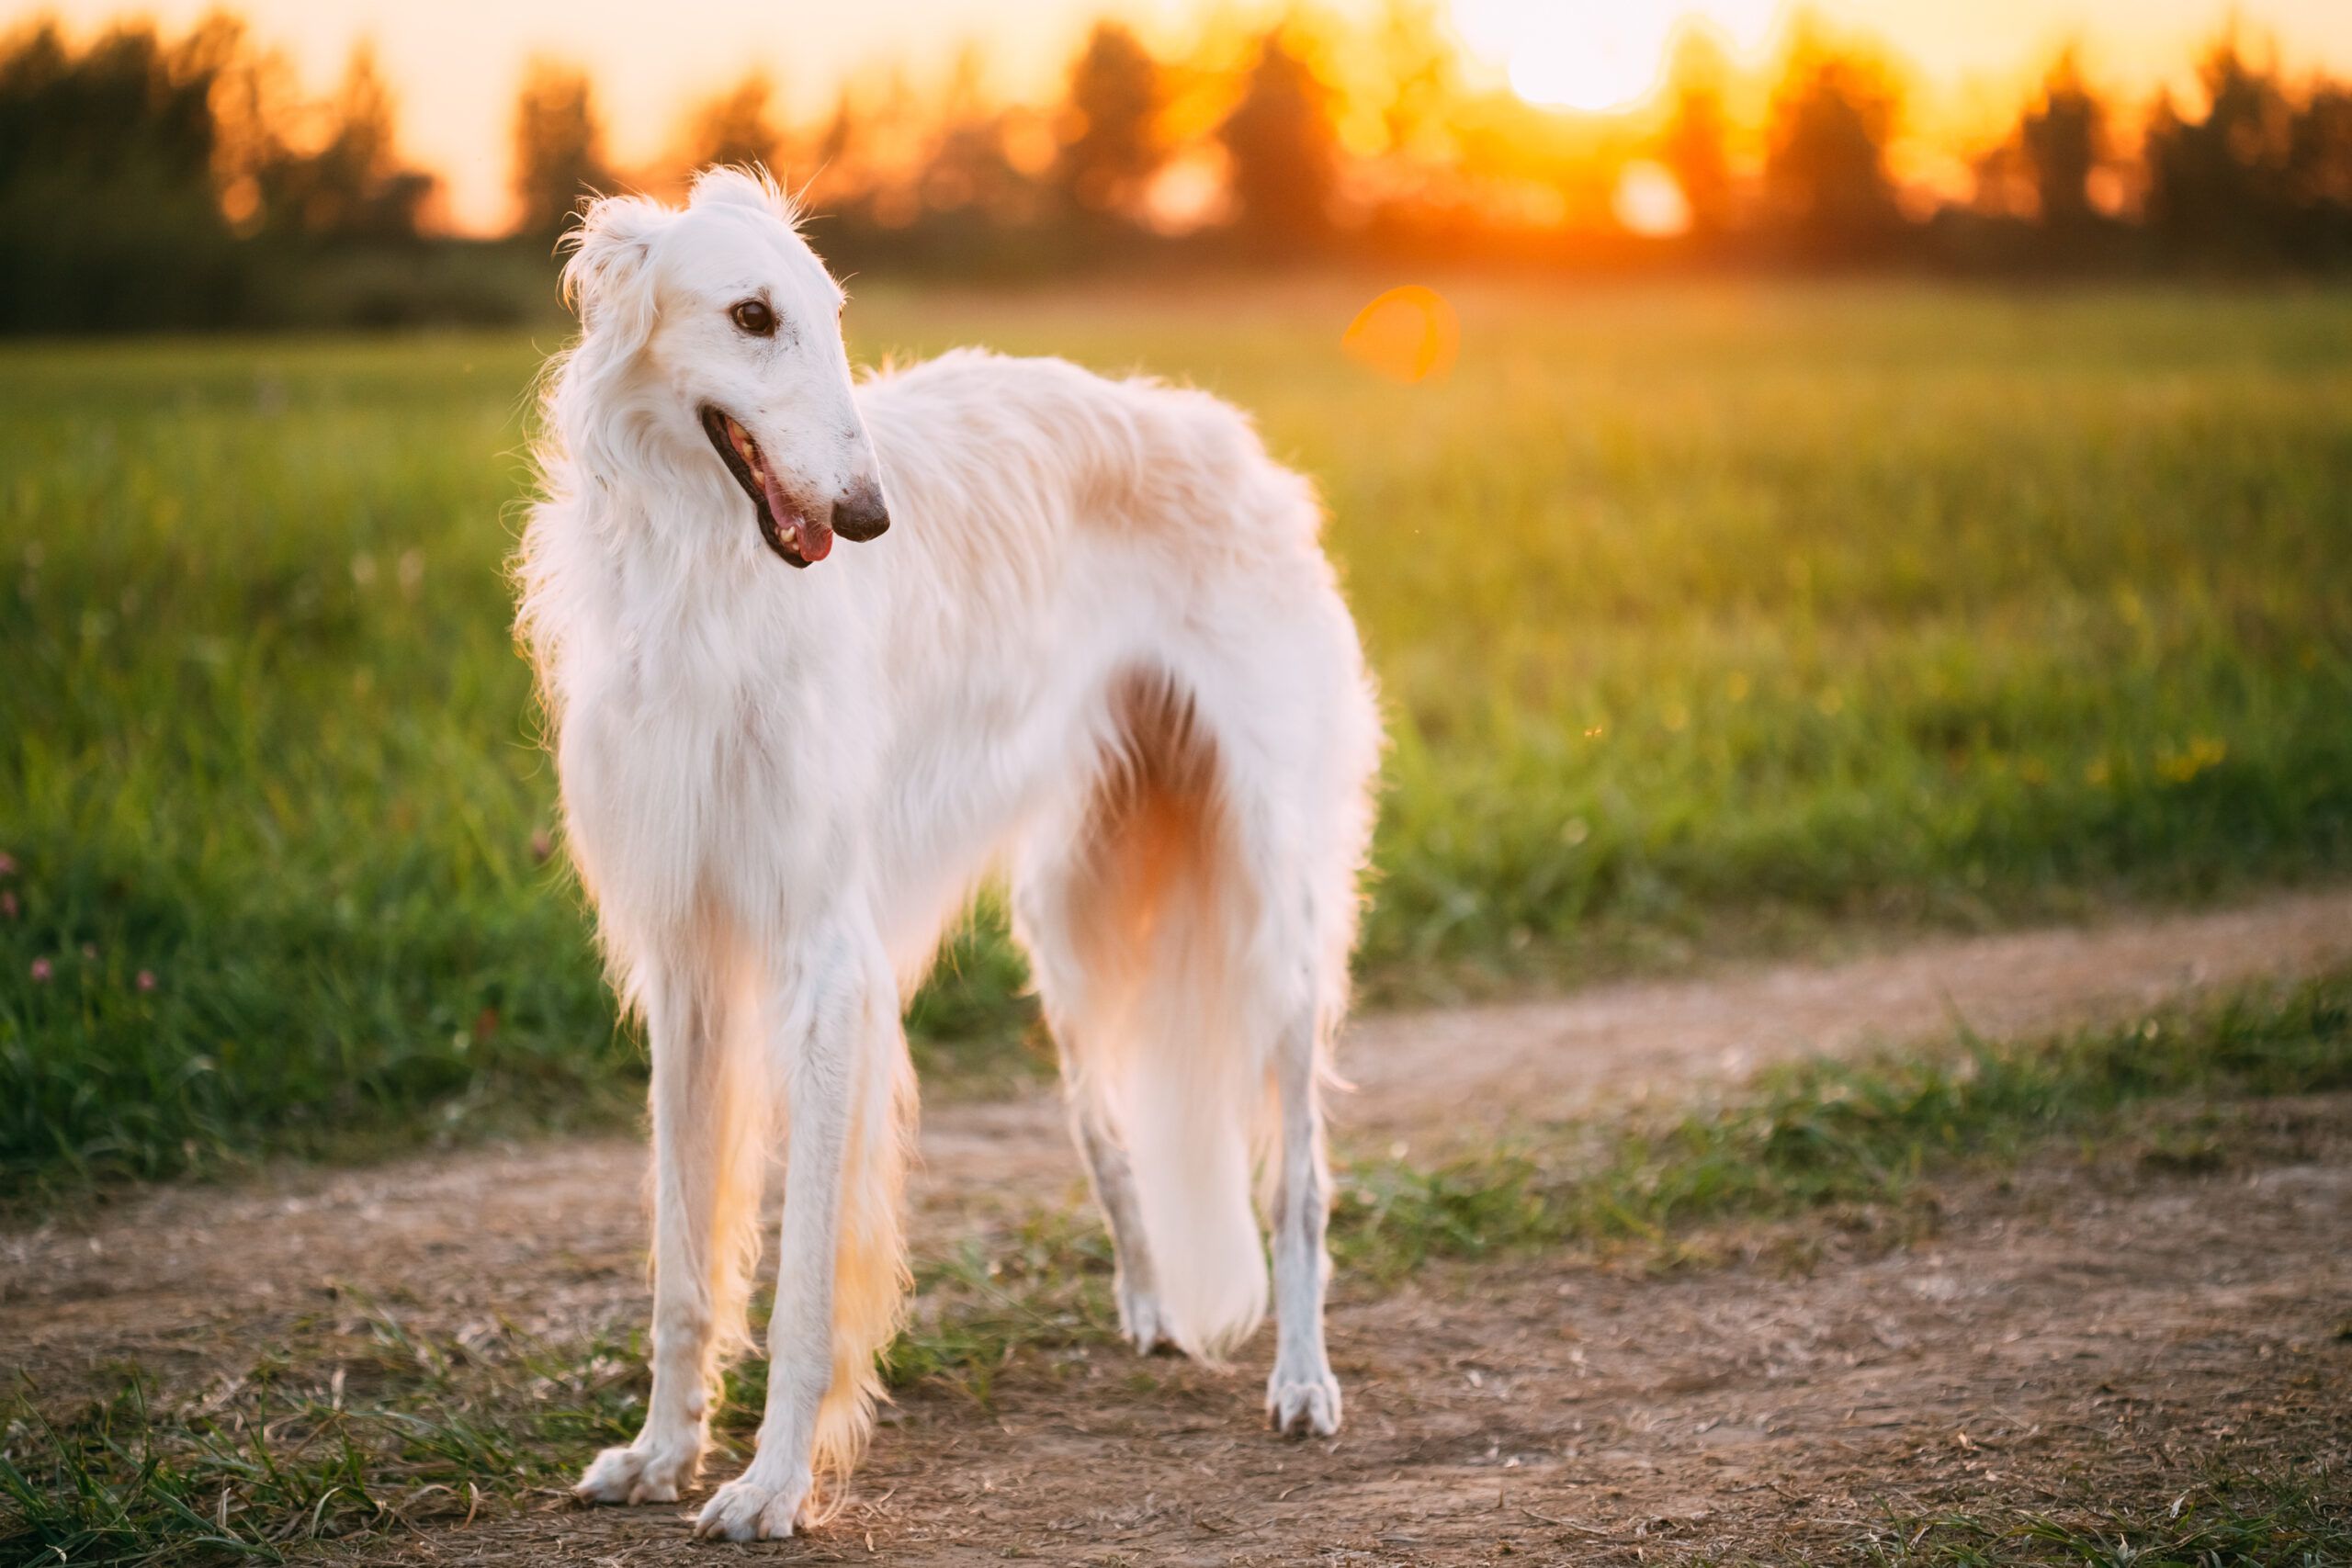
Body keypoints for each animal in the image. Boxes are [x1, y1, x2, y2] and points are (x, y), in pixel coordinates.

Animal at [519, 165, 1374, 1541]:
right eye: (751, 315)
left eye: (829, 313)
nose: (867, 517)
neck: (708, 579)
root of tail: (1233, 443)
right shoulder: (688, 959)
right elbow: (684, 1261)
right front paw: (660, 1451)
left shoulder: (825, 962)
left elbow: (806, 1278)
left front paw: (771, 1482)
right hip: (1070, 929)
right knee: (1108, 1131)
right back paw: (1152, 1305)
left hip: (1274, 913)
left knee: (1296, 1179)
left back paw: (1302, 1377)